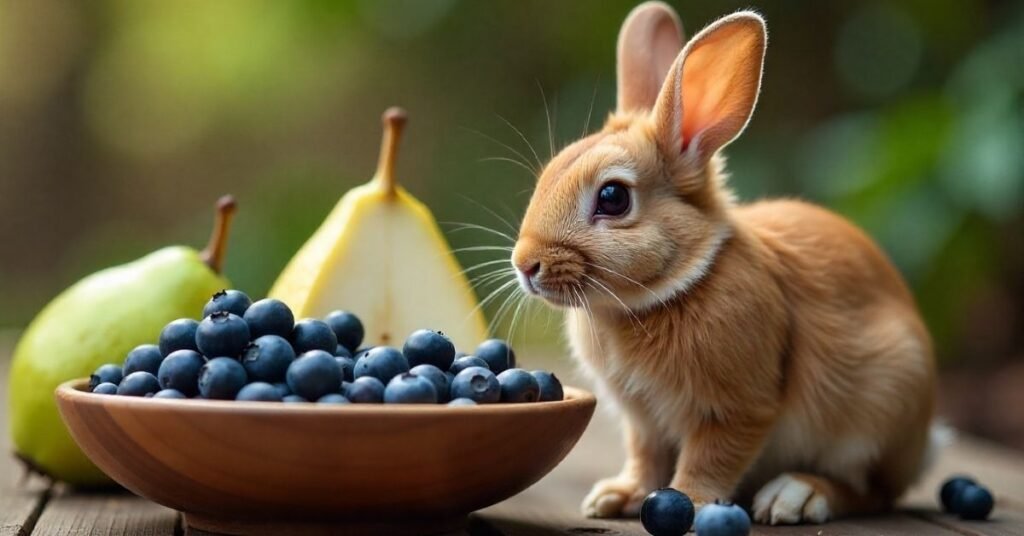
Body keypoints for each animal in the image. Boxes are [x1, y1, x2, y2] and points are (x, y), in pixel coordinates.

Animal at [509, 1, 937, 525]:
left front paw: (689, 502)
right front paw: (616, 497)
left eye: (613, 198)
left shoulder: (737, 409)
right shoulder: (643, 421)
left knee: (871, 492)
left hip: (879, 408)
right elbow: (645, 456)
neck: (677, 285)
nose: (525, 264)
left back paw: (797, 496)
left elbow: (711, 457)